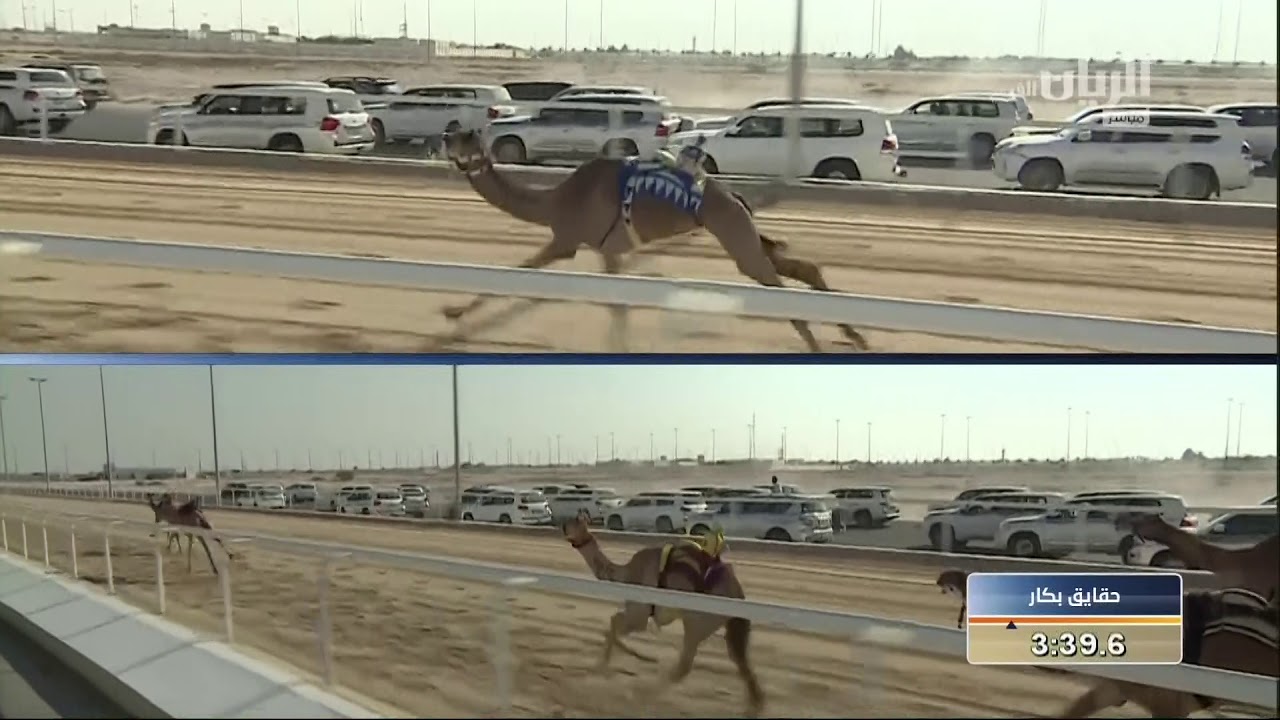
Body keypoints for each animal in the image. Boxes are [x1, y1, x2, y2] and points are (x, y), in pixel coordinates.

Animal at [441, 129, 870, 353]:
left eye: (465, 138)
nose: (446, 134)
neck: (555, 201)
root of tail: (735, 197)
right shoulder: (604, 250)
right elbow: (614, 304)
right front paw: (453, 312)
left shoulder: (573, 241)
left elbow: (519, 272)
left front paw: (453, 312)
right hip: (741, 233)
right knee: (801, 267)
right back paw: (855, 336)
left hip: (734, 234)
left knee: (778, 283)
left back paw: (822, 346)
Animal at [560, 510, 764, 717]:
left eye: (575, 522)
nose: (562, 526)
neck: (627, 574)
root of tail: (738, 593)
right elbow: (613, 623)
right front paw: (618, 661)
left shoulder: (639, 614)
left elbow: (614, 622)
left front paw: (606, 665)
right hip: (725, 623)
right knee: (739, 658)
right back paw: (753, 708)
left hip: (698, 620)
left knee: (685, 665)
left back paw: (640, 694)